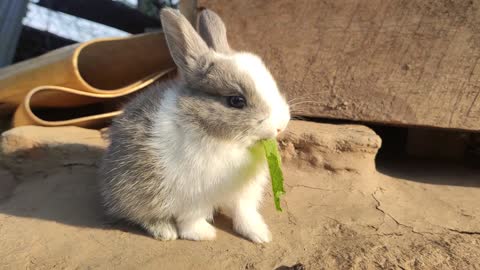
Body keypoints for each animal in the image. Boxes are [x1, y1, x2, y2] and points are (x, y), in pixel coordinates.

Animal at [98, 7, 288, 243]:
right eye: (236, 101)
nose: (281, 125)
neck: (226, 141)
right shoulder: (192, 197)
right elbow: (191, 221)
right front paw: (205, 234)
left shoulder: (244, 194)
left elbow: (244, 214)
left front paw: (260, 235)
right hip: (135, 191)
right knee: (138, 214)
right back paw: (165, 232)